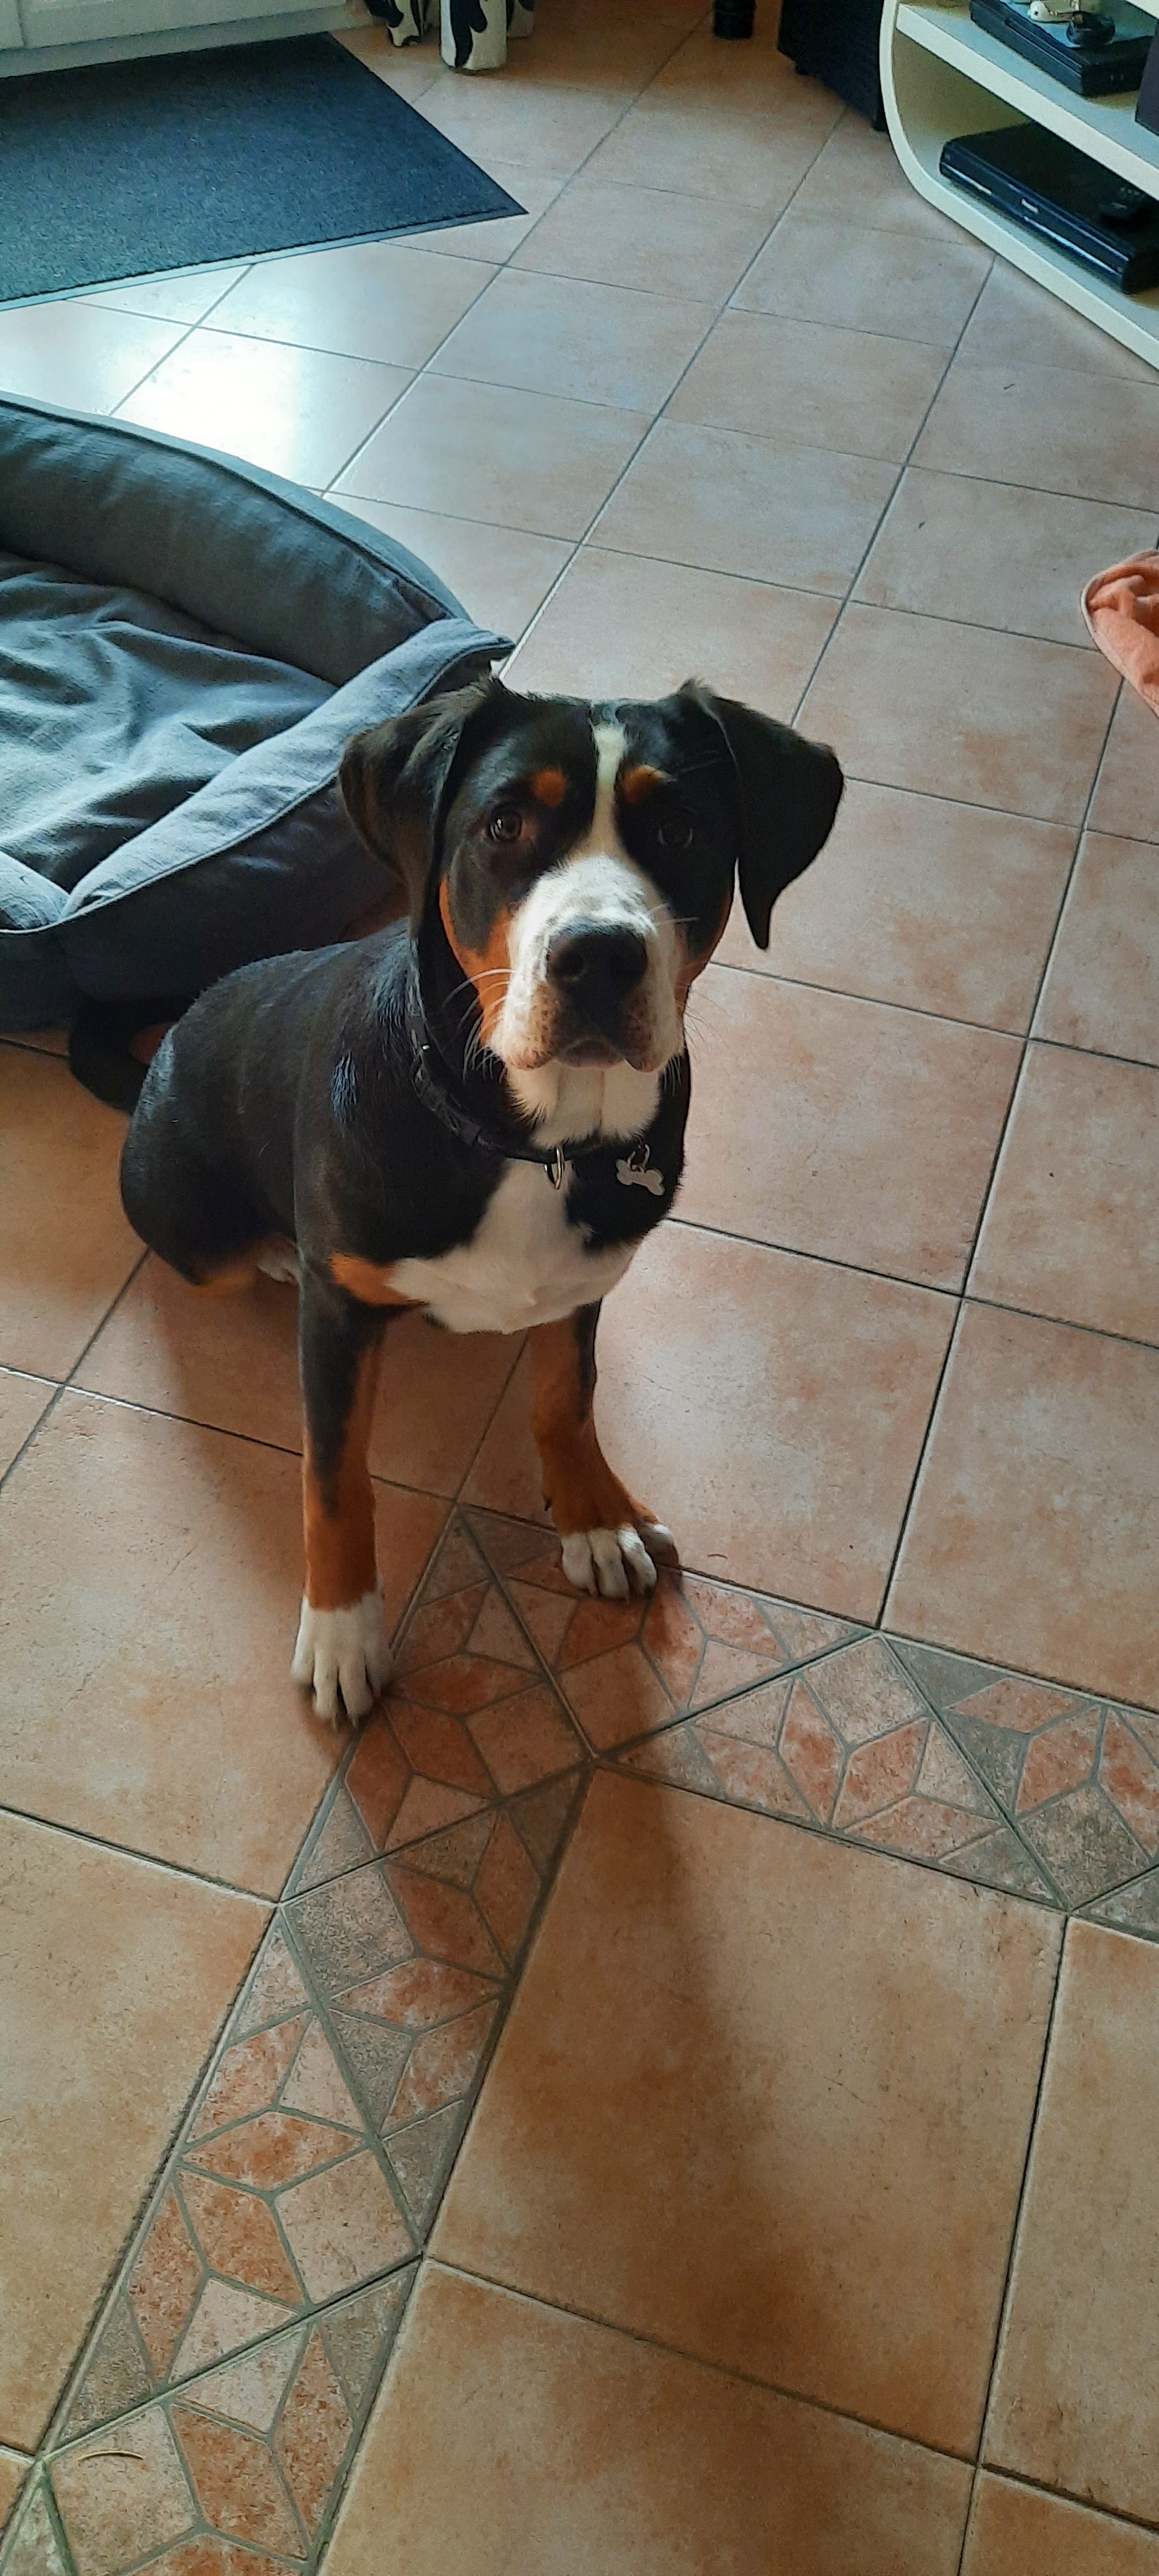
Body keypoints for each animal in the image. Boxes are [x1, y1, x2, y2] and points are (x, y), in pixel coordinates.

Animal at [120, 679, 842, 1723]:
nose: (598, 957)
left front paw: (594, 1519)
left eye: (679, 829)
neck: (531, 1142)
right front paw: (342, 1631)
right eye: (505, 823)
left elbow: (566, 1397)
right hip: (194, 1230)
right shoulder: (337, 1317)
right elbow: (333, 1474)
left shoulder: (588, 1277)